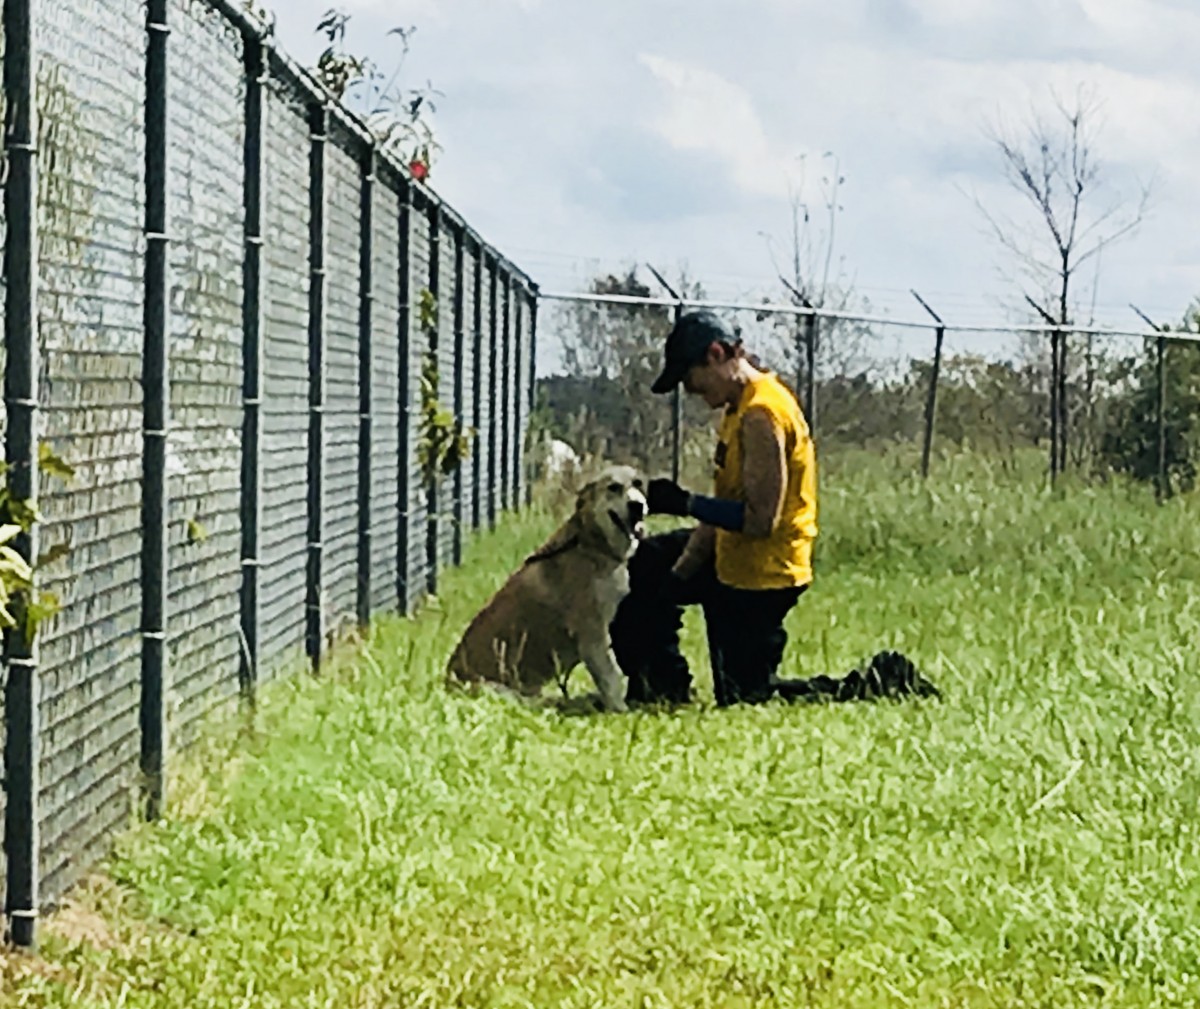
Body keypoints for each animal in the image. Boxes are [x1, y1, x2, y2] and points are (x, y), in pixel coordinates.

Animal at [446, 465, 647, 712]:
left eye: (638, 484)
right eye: (613, 487)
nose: (637, 505)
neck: (592, 545)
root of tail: (446, 682)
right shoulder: (592, 635)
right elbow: (611, 679)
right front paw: (620, 711)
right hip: (496, 689)